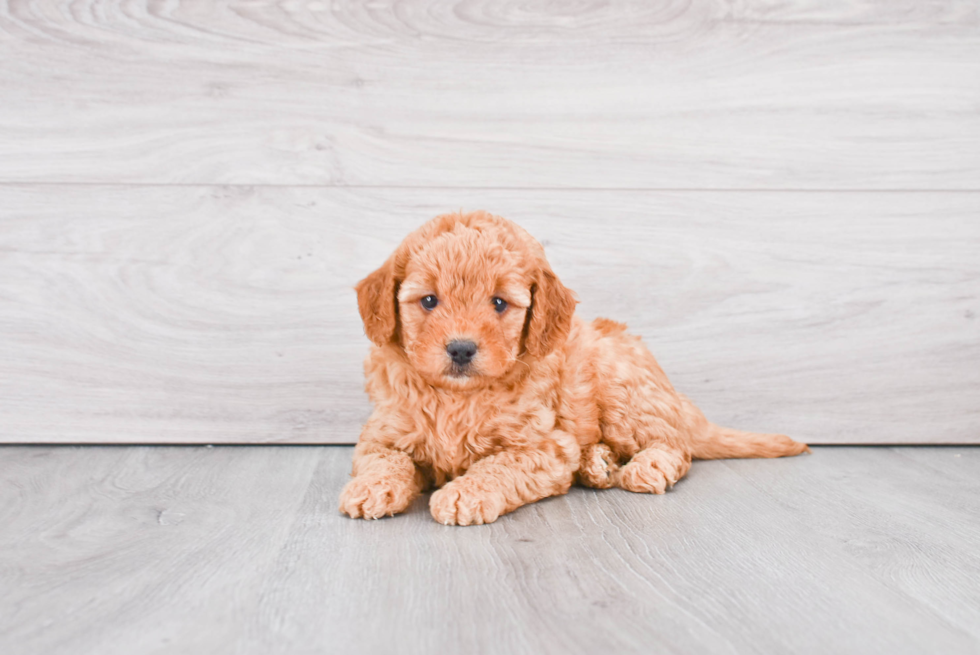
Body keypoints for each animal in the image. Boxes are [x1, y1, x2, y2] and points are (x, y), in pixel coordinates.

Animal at [340, 213, 808, 524]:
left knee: (676, 446)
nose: (460, 349)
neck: (458, 397)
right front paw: (369, 488)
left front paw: (465, 494)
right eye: (429, 300)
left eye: (499, 303)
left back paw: (644, 466)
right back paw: (596, 464)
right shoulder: (382, 433)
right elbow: (384, 460)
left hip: (623, 393)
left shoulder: (544, 446)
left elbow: (498, 466)